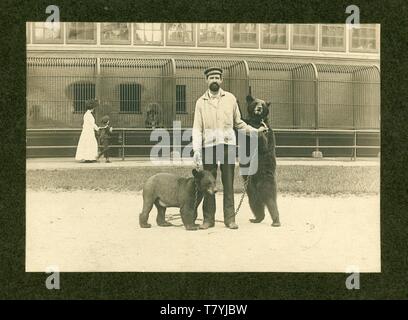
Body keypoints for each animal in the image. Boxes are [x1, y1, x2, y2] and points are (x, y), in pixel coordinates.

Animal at [241, 95, 282, 228]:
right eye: (255, 102)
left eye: (263, 105)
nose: (259, 108)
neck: (257, 120)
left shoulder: (267, 131)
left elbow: (263, 144)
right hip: (250, 188)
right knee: (255, 203)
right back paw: (256, 218)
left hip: (265, 180)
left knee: (270, 200)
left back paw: (276, 221)